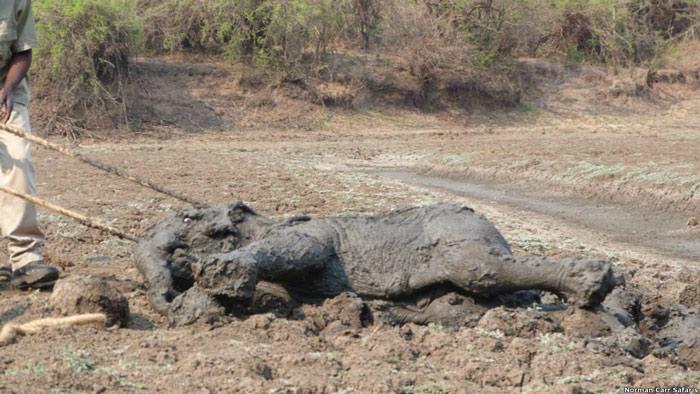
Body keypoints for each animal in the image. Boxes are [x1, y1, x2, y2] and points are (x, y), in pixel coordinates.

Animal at [134, 202, 616, 324]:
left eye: (192, 218)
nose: (167, 297)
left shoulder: (308, 238)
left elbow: (299, 252)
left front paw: (221, 277)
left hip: (463, 245)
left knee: (490, 270)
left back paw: (593, 283)